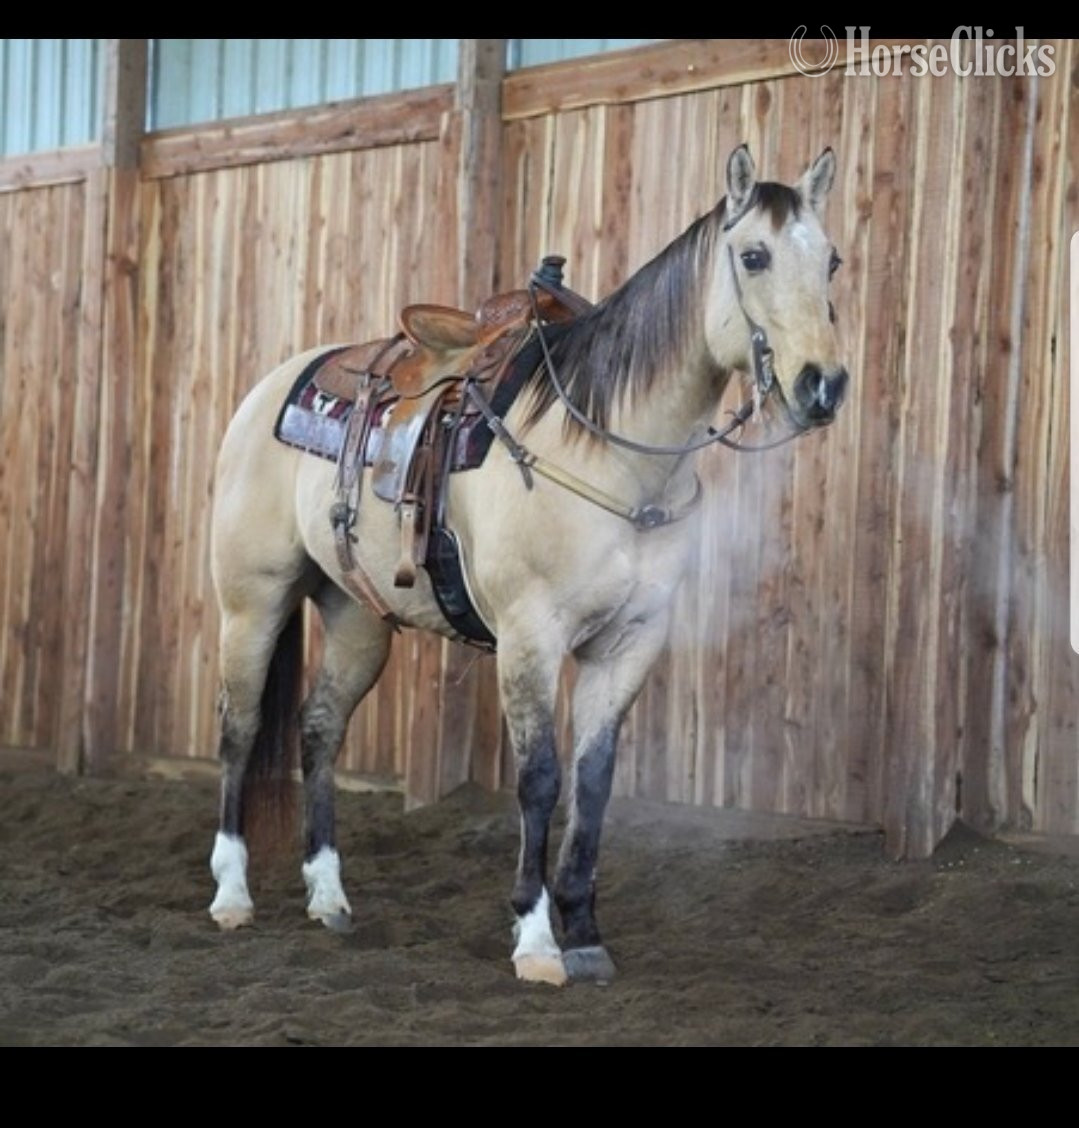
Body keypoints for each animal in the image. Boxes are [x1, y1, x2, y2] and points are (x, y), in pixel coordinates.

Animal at [206, 143, 849, 986]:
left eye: (832, 259)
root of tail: (268, 390)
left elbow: (593, 779)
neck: (611, 455)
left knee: (317, 728)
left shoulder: (631, 641)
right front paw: (538, 939)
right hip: (252, 602)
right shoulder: (529, 637)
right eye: (753, 255)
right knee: (240, 727)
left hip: (356, 616)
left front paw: (584, 931)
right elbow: (539, 778)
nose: (823, 384)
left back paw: (328, 897)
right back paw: (231, 894)